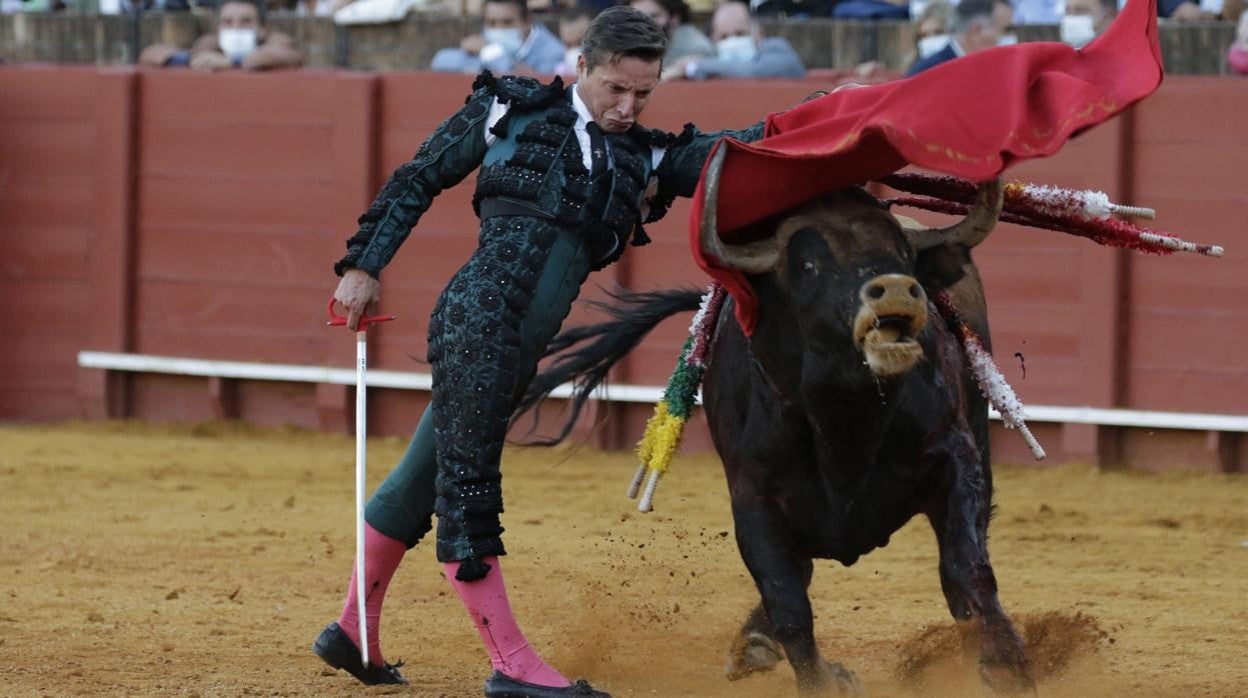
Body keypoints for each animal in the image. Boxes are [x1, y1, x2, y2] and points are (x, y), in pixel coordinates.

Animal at [516, 147, 1033, 694]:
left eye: (902, 255)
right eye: (807, 264)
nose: (895, 289)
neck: (844, 417)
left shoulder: (954, 455)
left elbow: (968, 563)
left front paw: (1007, 664)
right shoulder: (754, 498)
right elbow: (788, 601)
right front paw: (819, 679)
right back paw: (756, 646)